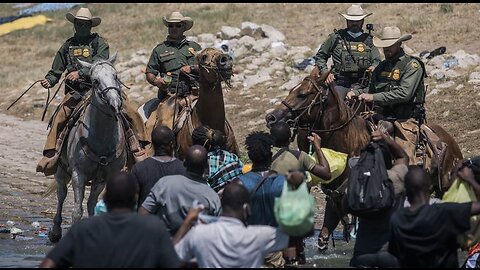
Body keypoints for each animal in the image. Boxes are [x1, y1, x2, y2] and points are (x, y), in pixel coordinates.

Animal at [48, 52, 127, 243]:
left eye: (115, 76)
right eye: (95, 80)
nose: (115, 103)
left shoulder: (106, 177)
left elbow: (94, 205)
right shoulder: (79, 174)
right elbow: (77, 211)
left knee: (90, 202)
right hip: (61, 171)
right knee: (61, 194)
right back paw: (55, 231)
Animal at [264, 67, 464, 251]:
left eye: (303, 94)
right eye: (292, 90)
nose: (271, 117)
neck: (347, 142)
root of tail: (450, 141)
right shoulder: (334, 197)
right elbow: (325, 233)